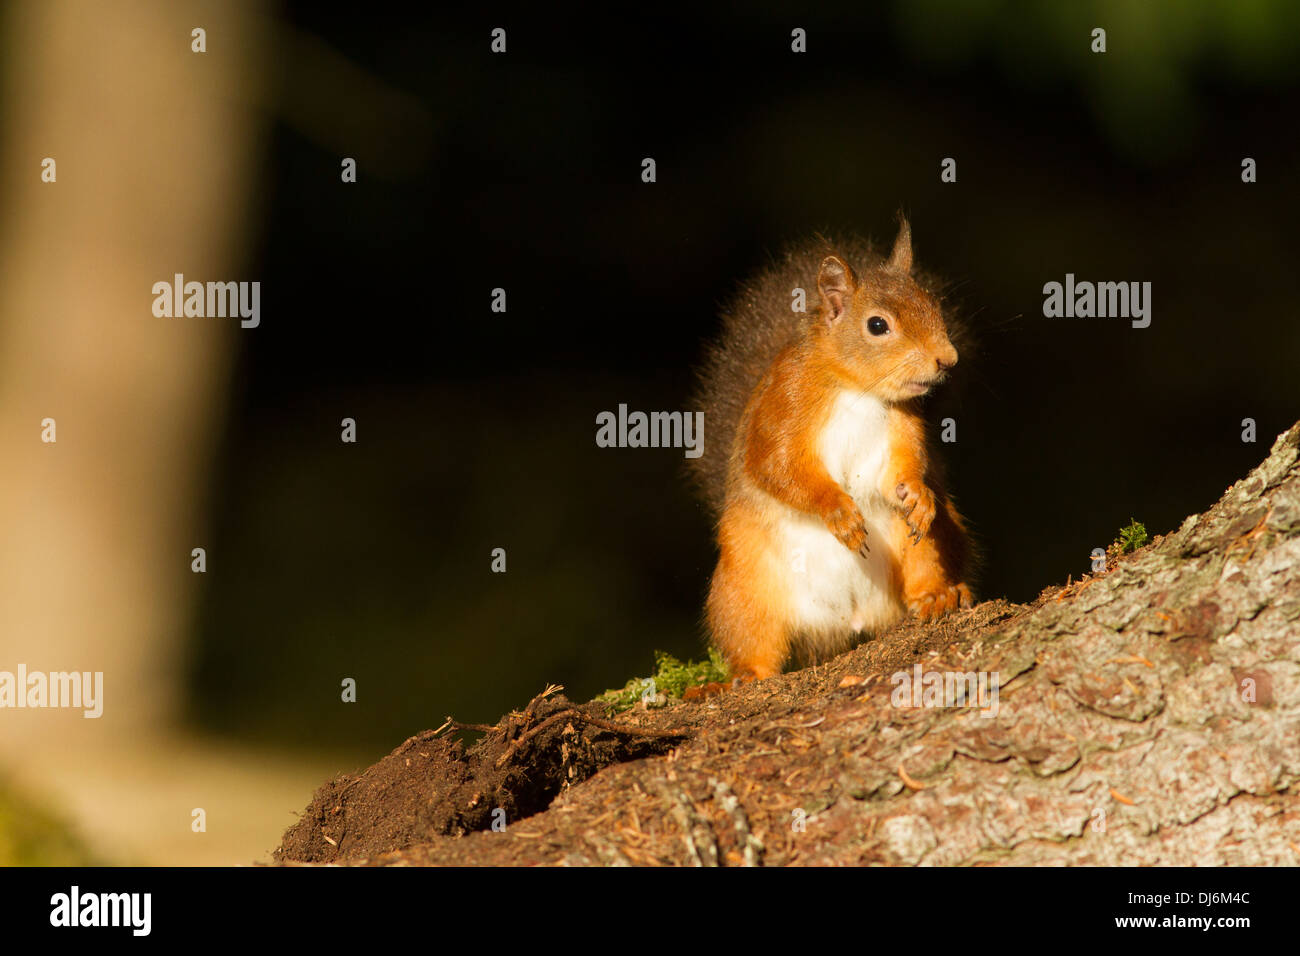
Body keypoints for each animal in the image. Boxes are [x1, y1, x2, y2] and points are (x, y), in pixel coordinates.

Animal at [696, 218, 972, 681]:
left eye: (932, 304)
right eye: (877, 326)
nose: (947, 359)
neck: (857, 389)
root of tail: (851, 620)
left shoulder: (901, 425)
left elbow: (903, 469)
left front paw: (917, 494)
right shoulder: (782, 405)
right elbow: (776, 465)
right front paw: (838, 511)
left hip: (926, 543)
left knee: (924, 563)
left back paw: (938, 594)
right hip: (744, 583)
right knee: (753, 641)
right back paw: (742, 676)